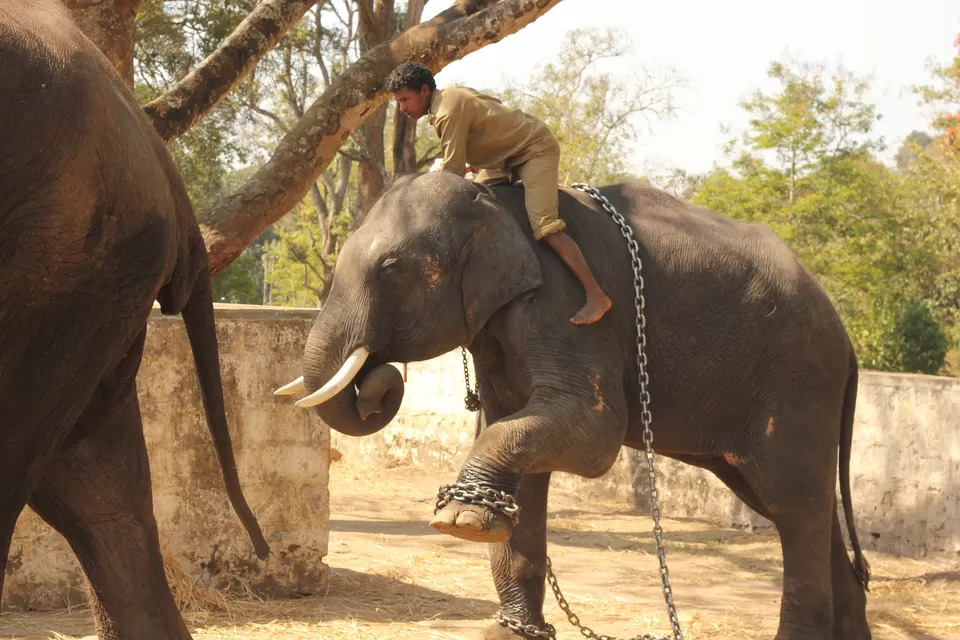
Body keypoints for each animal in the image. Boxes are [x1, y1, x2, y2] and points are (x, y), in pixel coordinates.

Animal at [278, 168, 872, 640]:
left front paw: (459, 519)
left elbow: (594, 433)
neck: (498, 202)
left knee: (793, 504)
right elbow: (513, 435)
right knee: (794, 505)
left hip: (796, 379)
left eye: (392, 268)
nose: (378, 379)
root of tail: (846, 339)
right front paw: (509, 628)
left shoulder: (569, 306)